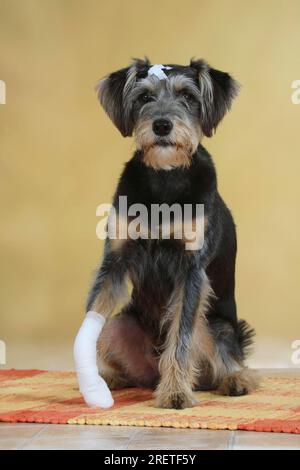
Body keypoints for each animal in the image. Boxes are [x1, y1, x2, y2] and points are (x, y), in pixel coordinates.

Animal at [74, 57, 258, 412]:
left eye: (187, 96)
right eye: (144, 97)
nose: (161, 125)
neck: (164, 179)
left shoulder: (191, 269)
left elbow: (180, 336)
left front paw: (175, 393)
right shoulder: (115, 258)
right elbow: (90, 318)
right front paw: (92, 386)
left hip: (217, 326)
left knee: (228, 362)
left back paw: (233, 381)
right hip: (120, 325)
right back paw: (114, 377)